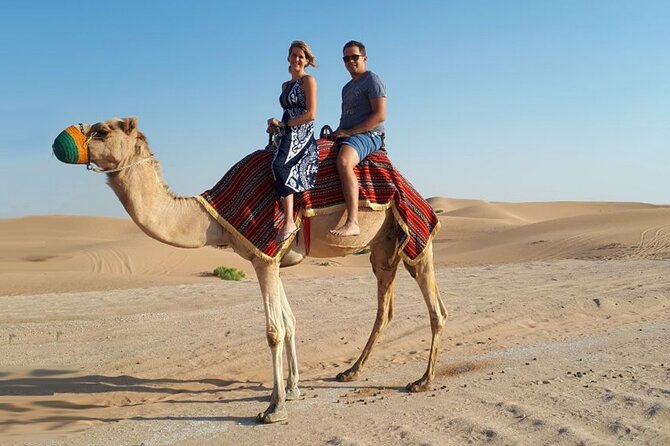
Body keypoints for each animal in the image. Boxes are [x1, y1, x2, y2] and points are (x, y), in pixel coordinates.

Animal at [53, 117, 448, 423]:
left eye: (102, 130)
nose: (61, 141)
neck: (214, 216)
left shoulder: (265, 255)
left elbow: (274, 330)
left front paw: (274, 408)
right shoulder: (273, 260)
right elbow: (290, 322)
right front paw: (293, 389)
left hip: (414, 234)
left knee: (436, 309)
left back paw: (423, 380)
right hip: (383, 246)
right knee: (385, 309)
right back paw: (351, 371)